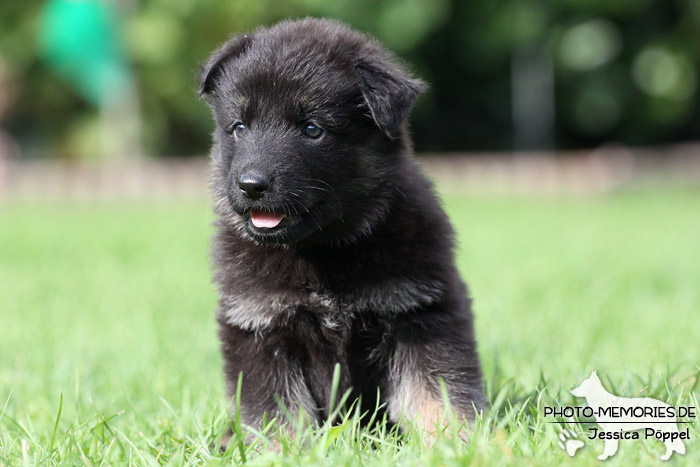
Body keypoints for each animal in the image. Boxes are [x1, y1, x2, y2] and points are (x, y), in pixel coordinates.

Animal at [200, 18, 484, 442]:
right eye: (238, 127)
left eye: (312, 128)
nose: (251, 185)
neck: (323, 248)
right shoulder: (260, 323)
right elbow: (275, 411)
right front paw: (277, 448)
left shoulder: (421, 309)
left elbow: (434, 390)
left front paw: (455, 441)